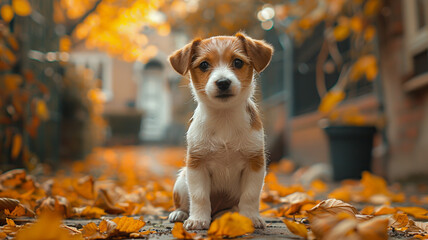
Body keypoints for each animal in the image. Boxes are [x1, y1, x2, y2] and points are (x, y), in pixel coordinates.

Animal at [166, 32, 270, 230]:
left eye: (237, 62)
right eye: (204, 65)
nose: (223, 82)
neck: (224, 118)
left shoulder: (255, 163)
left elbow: (250, 195)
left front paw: (250, 217)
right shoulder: (196, 164)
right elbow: (199, 196)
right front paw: (198, 219)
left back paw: (228, 215)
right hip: (182, 181)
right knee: (184, 202)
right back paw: (180, 213)